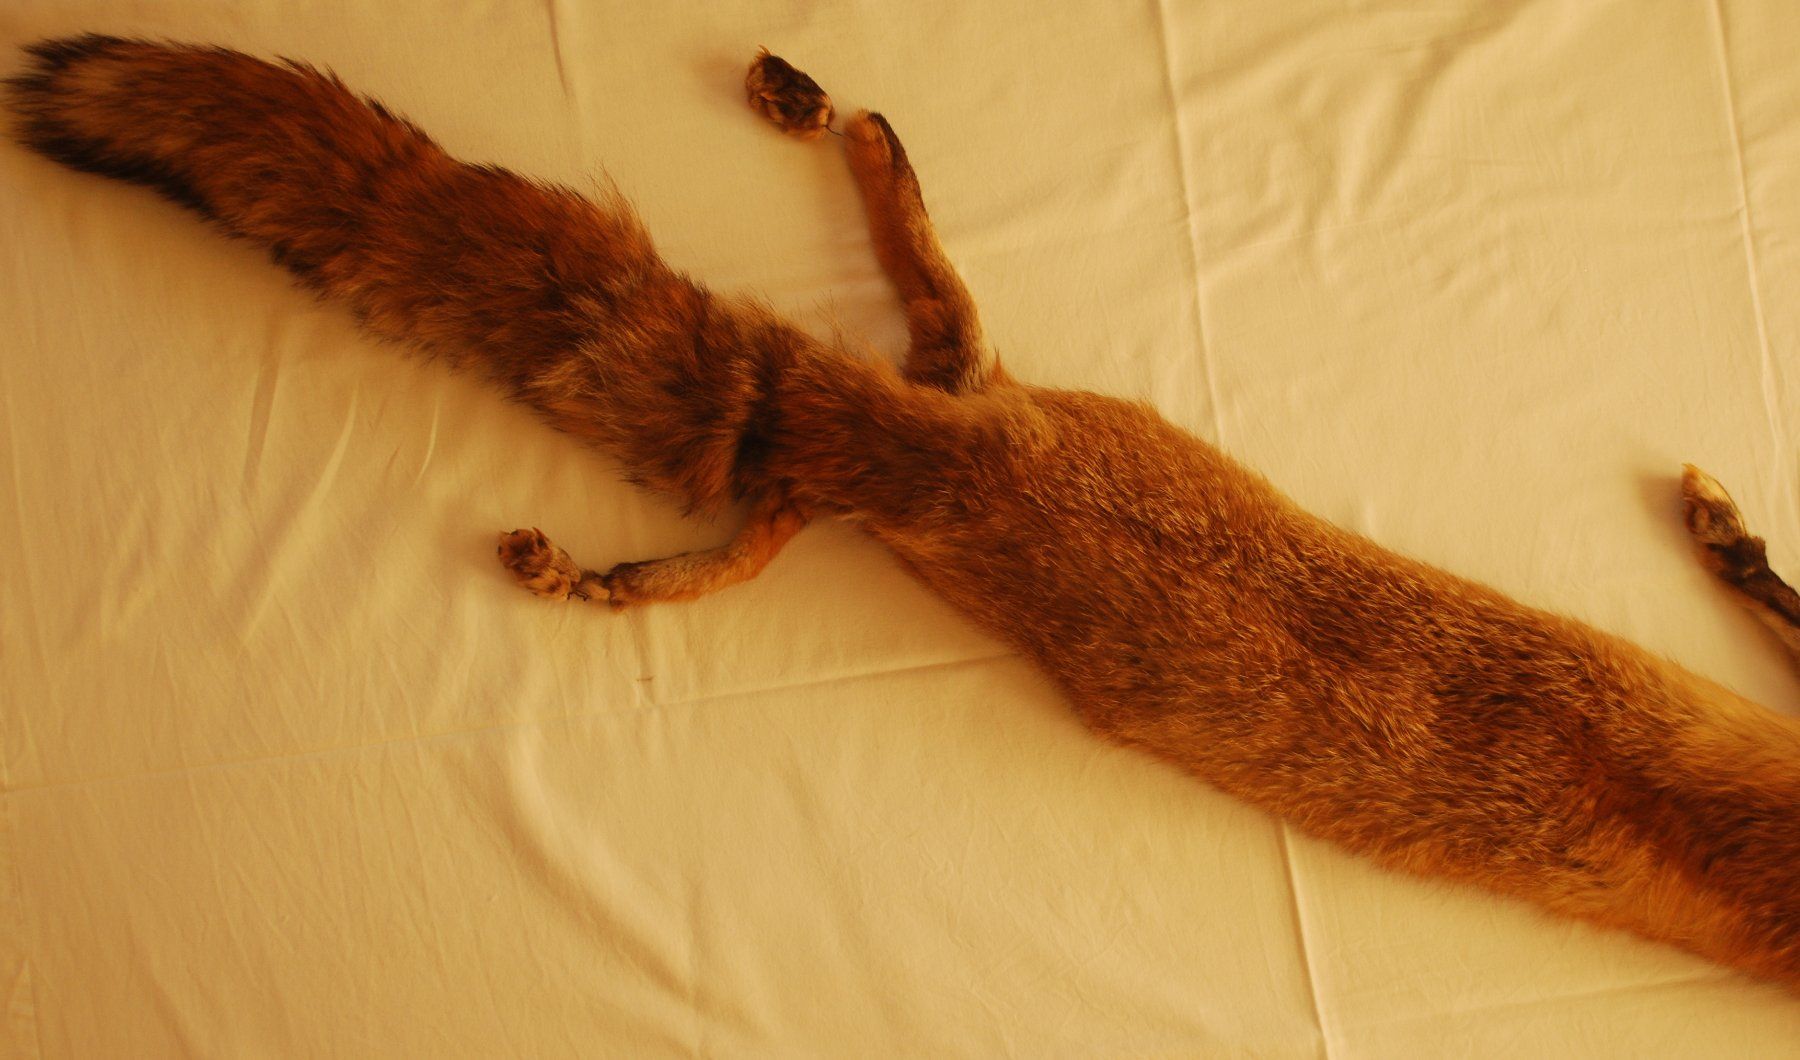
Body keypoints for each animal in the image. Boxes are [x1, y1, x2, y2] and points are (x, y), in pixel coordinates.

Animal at [7, 34, 1799, 996]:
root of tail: (900, 450)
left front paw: (1719, 528)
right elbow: (1781, 592)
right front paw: (1728, 524)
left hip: (935, 413)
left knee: (883, 348)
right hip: (954, 425)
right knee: (887, 288)